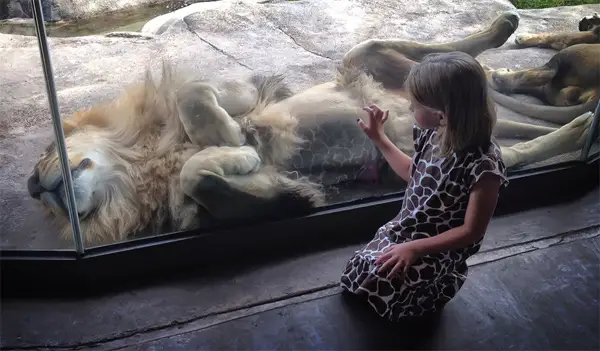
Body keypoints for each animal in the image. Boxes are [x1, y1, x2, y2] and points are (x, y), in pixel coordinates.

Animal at [25, 11, 596, 248]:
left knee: (446, 50)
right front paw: (249, 164)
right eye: (49, 211)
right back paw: (577, 129)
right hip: (418, 161)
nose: (33, 186)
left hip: (366, 56)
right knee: (510, 154)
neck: (139, 170)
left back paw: (506, 27)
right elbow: (199, 178)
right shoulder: (217, 206)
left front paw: (229, 138)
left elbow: (199, 101)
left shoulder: (244, 88)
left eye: (46, 152)